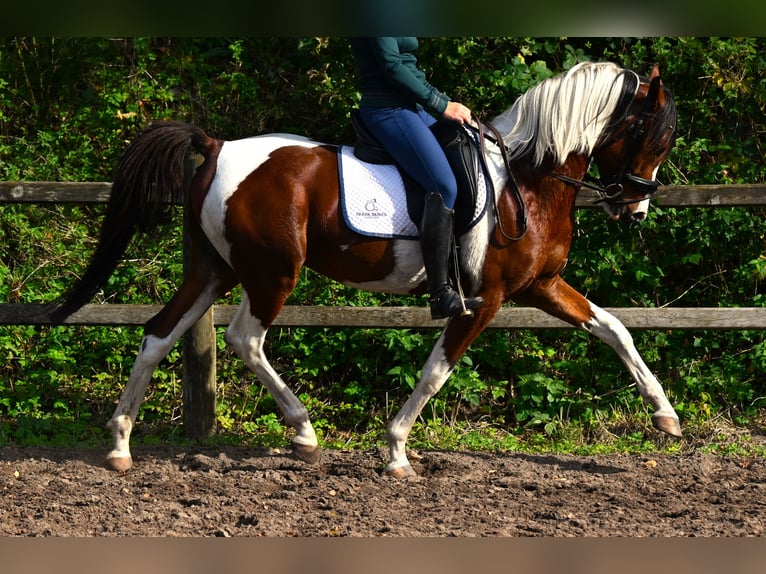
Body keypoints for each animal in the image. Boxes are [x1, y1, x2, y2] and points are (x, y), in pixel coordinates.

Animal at [48, 60, 680, 480]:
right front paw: (396, 451)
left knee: (159, 333)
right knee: (245, 338)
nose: (637, 209)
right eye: (659, 135)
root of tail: (219, 145)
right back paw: (304, 433)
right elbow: (436, 372)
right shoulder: (487, 299)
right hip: (273, 273)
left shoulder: (541, 285)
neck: (526, 180)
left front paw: (665, 417)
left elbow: (614, 328)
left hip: (214, 270)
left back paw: (120, 444)